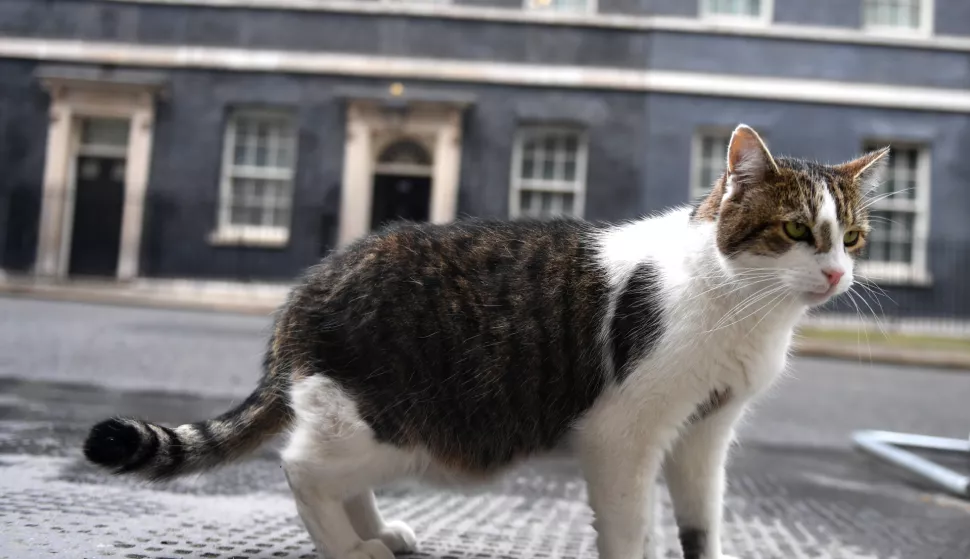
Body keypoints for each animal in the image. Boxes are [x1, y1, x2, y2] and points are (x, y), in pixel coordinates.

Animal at [83, 126, 884, 559]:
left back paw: (379, 532)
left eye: (852, 236)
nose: (836, 273)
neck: (743, 306)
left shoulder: (703, 433)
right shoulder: (624, 433)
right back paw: (348, 545)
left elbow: (701, 523)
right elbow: (631, 526)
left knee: (333, 473)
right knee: (302, 467)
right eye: (796, 230)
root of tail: (307, 289)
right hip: (396, 424)